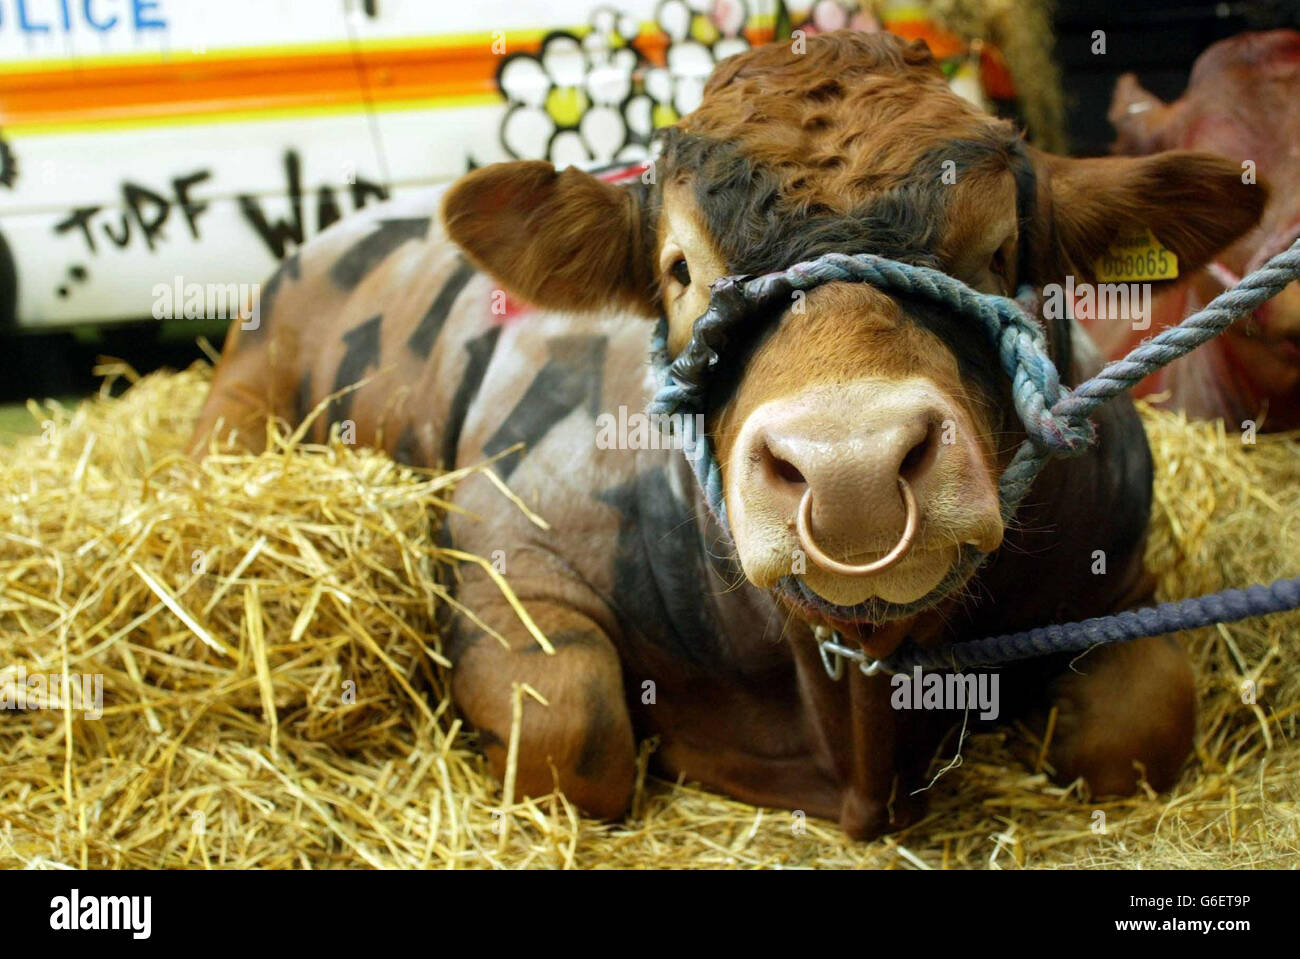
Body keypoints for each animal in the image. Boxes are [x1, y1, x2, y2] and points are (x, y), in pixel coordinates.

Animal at [188, 33, 1263, 831]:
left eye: (1001, 251)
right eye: (679, 269)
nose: (853, 471)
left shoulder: (1121, 577)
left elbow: (1139, 727)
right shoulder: (511, 559)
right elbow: (574, 731)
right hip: (241, 394)